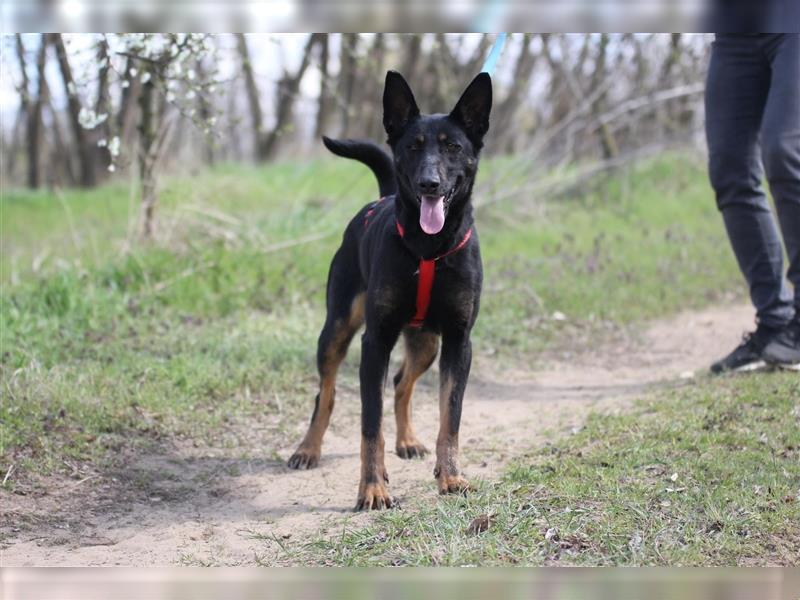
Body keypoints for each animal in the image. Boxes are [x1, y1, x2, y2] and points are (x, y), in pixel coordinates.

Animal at [284, 70, 490, 510]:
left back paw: (408, 440)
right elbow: (369, 426)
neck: (429, 248)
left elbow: (450, 419)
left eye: (453, 147)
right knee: (325, 394)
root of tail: (381, 197)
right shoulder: (375, 341)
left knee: (400, 384)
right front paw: (373, 488)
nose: (429, 184)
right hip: (336, 330)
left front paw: (451, 477)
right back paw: (308, 449)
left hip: (426, 343)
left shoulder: (458, 342)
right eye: (412, 146)